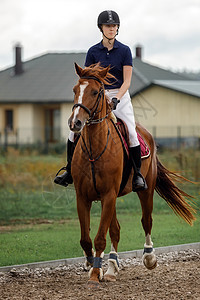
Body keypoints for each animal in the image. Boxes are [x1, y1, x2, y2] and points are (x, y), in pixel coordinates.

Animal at [68, 62, 195, 288]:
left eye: (95, 92)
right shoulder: (83, 196)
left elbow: (100, 238)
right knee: (115, 230)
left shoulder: (109, 195)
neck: (94, 149)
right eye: (75, 90)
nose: (75, 123)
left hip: (145, 190)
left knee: (146, 221)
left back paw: (148, 257)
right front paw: (92, 265)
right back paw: (111, 268)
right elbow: (86, 238)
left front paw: (95, 274)